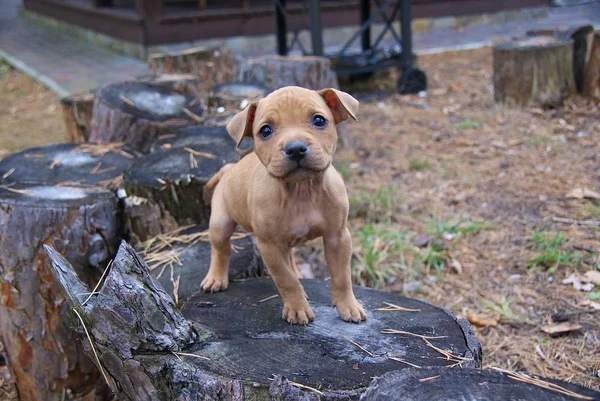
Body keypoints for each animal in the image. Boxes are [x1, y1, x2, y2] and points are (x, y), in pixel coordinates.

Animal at [204, 86, 368, 324]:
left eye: (319, 120)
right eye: (265, 130)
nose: (296, 148)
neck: (301, 191)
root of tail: (229, 169)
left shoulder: (337, 237)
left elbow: (342, 276)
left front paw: (349, 306)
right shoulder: (269, 247)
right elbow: (286, 280)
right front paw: (297, 309)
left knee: (289, 256)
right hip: (220, 224)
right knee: (220, 250)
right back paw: (216, 278)